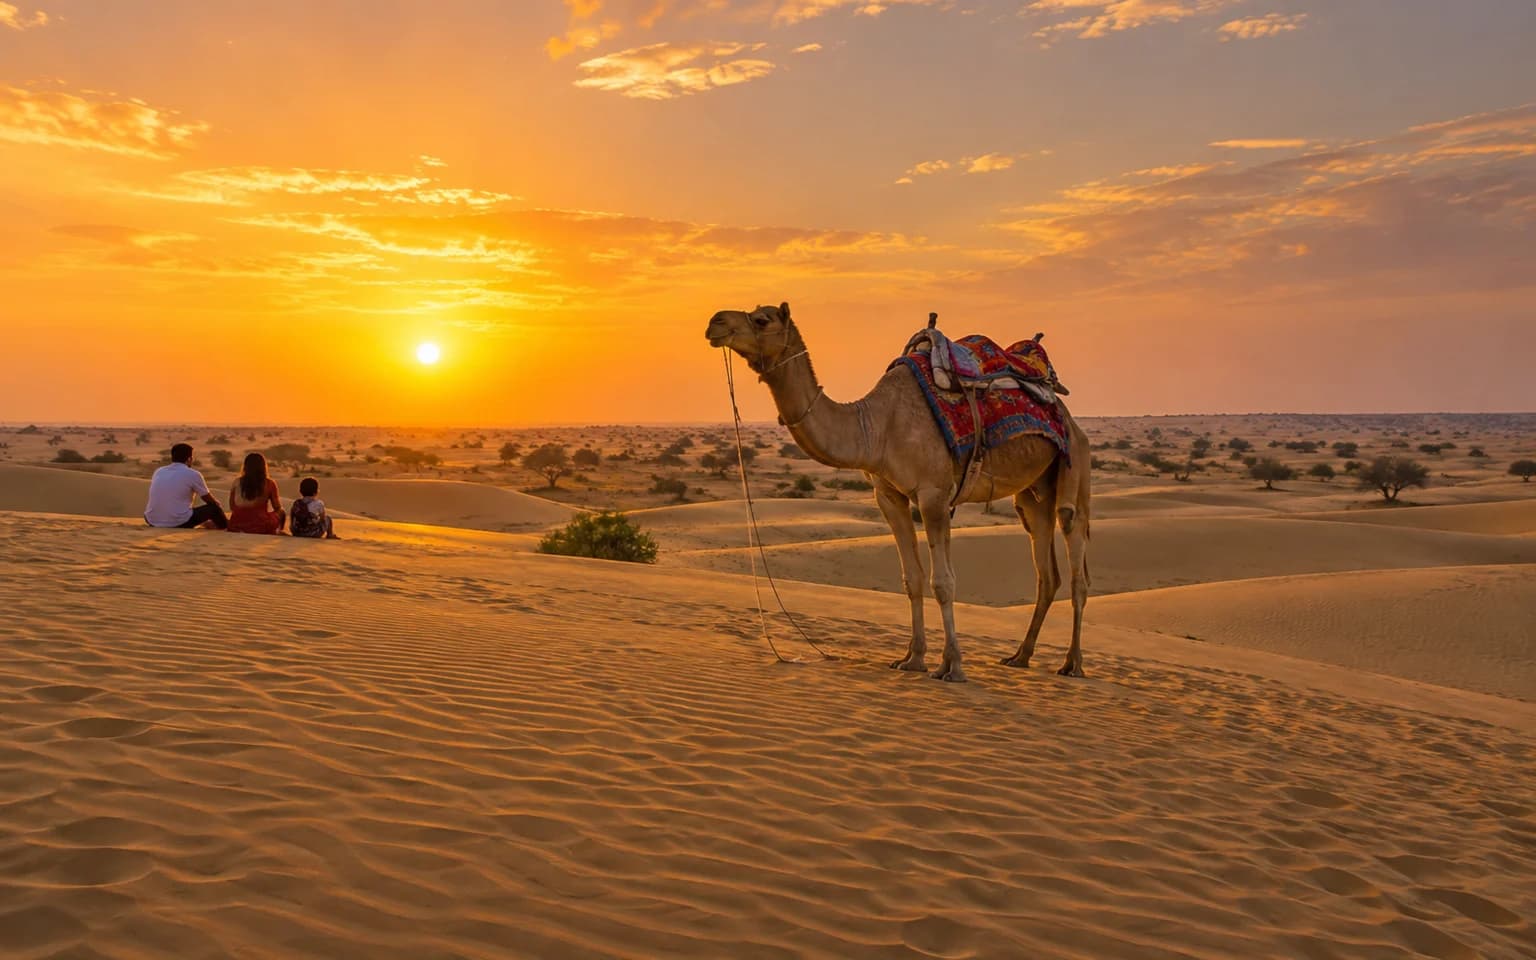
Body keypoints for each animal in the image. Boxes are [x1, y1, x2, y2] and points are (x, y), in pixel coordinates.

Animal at [706, 302, 1091, 682]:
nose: (714, 321)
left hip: (1074, 460)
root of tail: (1067, 414)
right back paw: (1020, 656)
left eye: (761, 319)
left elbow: (943, 583)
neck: (877, 426)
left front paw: (952, 666)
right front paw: (912, 658)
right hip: (1032, 492)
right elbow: (912, 579)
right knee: (1046, 569)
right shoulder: (889, 495)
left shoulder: (934, 494)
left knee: (1075, 557)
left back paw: (1072, 663)